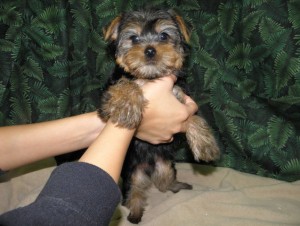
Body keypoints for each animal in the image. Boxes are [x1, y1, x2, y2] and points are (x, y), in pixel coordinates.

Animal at [99, 9, 219, 223]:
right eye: (134, 38)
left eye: (164, 36)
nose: (149, 50)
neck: (151, 77)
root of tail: (149, 167)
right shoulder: (107, 97)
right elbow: (127, 83)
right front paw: (127, 105)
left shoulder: (182, 98)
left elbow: (194, 116)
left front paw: (205, 144)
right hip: (133, 172)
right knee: (135, 190)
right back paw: (134, 213)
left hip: (166, 165)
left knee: (164, 181)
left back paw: (178, 186)